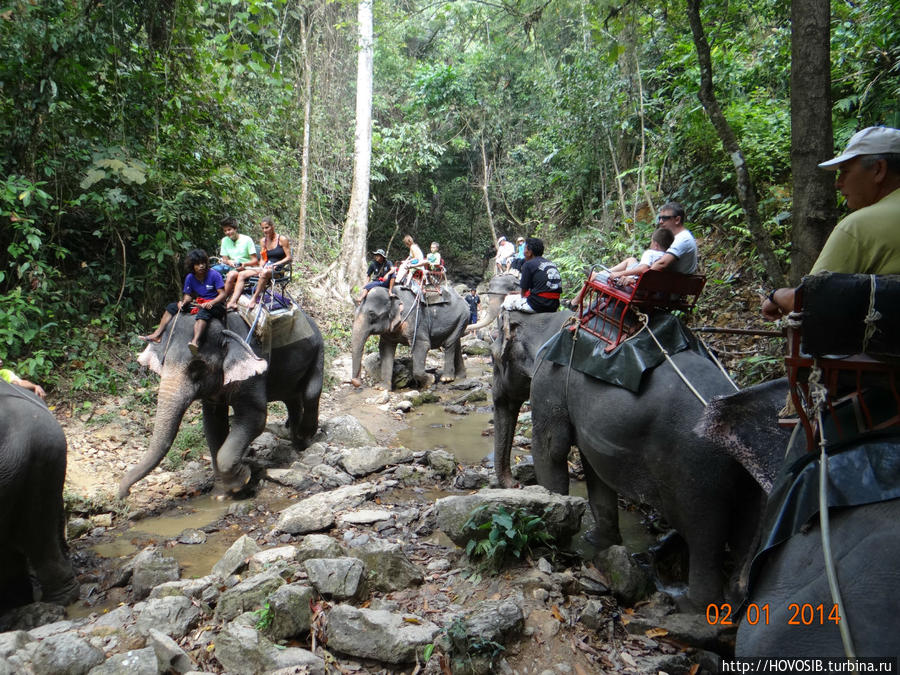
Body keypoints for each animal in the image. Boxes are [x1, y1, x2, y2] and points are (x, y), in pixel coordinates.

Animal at [121, 304, 322, 500]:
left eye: (197, 367)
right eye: (162, 363)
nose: (124, 494)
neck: (226, 329)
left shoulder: (254, 368)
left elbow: (255, 418)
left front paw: (242, 478)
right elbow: (213, 424)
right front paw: (220, 494)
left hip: (319, 350)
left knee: (311, 393)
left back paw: (306, 435)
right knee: (291, 398)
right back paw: (298, 441)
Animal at [532, 316, 792, 608]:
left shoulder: (548, 383)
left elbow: (553, 451)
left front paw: (558, 543)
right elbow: (593, 468)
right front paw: (597, 542)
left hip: (696, 471)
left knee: (703, 534)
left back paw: (688, 601)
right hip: (748, 473)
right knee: (744, 533)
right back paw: (733, 600)